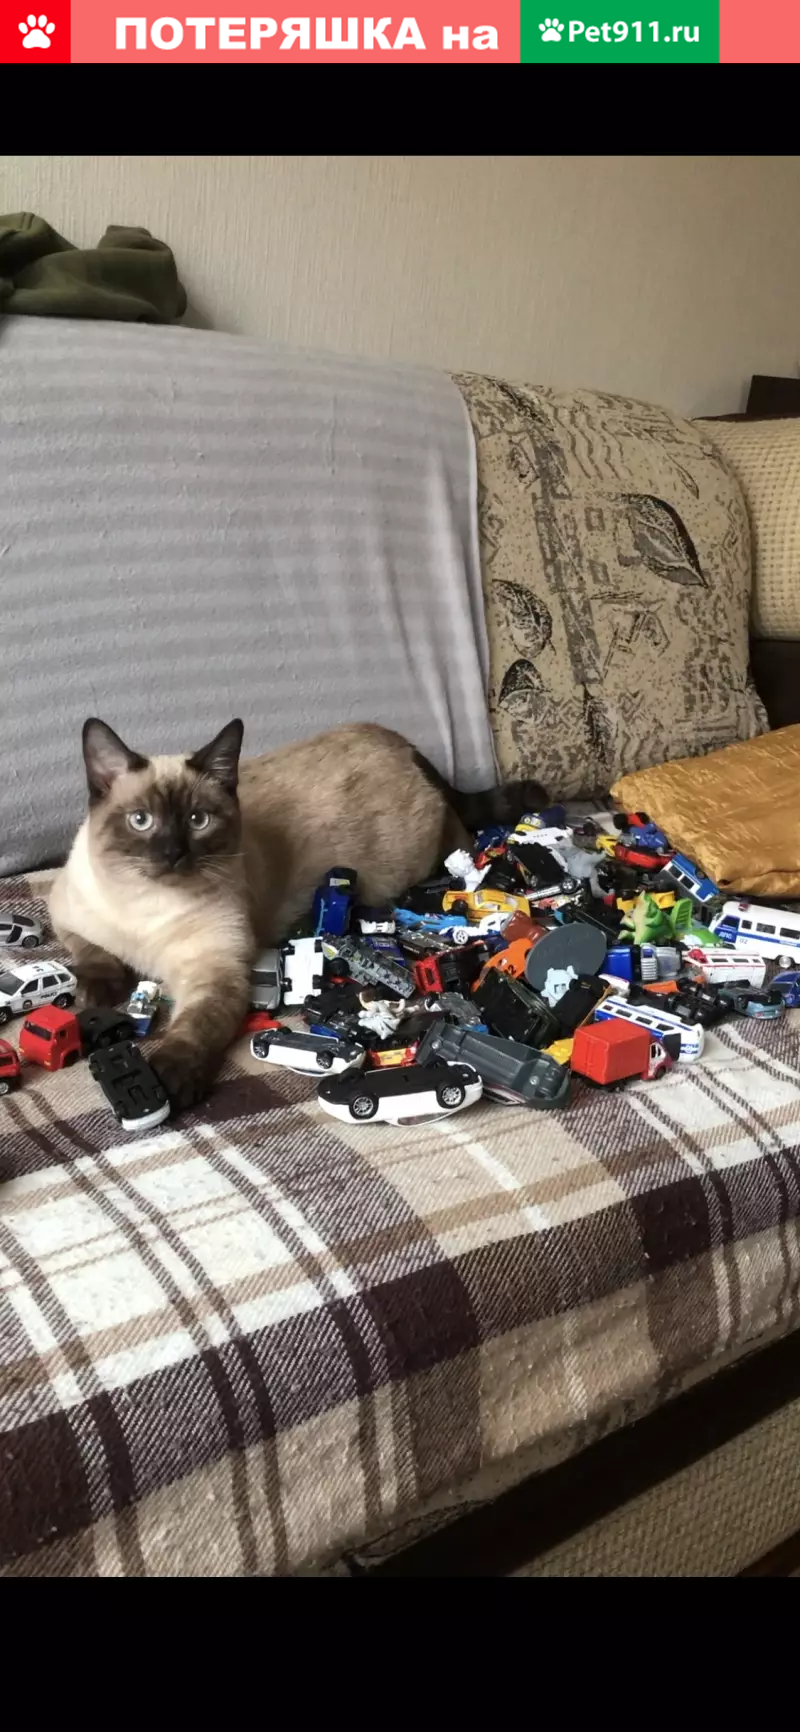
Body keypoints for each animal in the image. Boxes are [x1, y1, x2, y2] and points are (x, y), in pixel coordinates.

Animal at [49, 717, 546, 1111]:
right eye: (141, 821)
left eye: (197, 821)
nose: (173, 854)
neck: (148, 904)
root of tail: (402, 743)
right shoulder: (65, 914)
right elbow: (92, 955)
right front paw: (96, 993)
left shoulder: (215, 975)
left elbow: (192, 1031)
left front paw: (167, 1080)